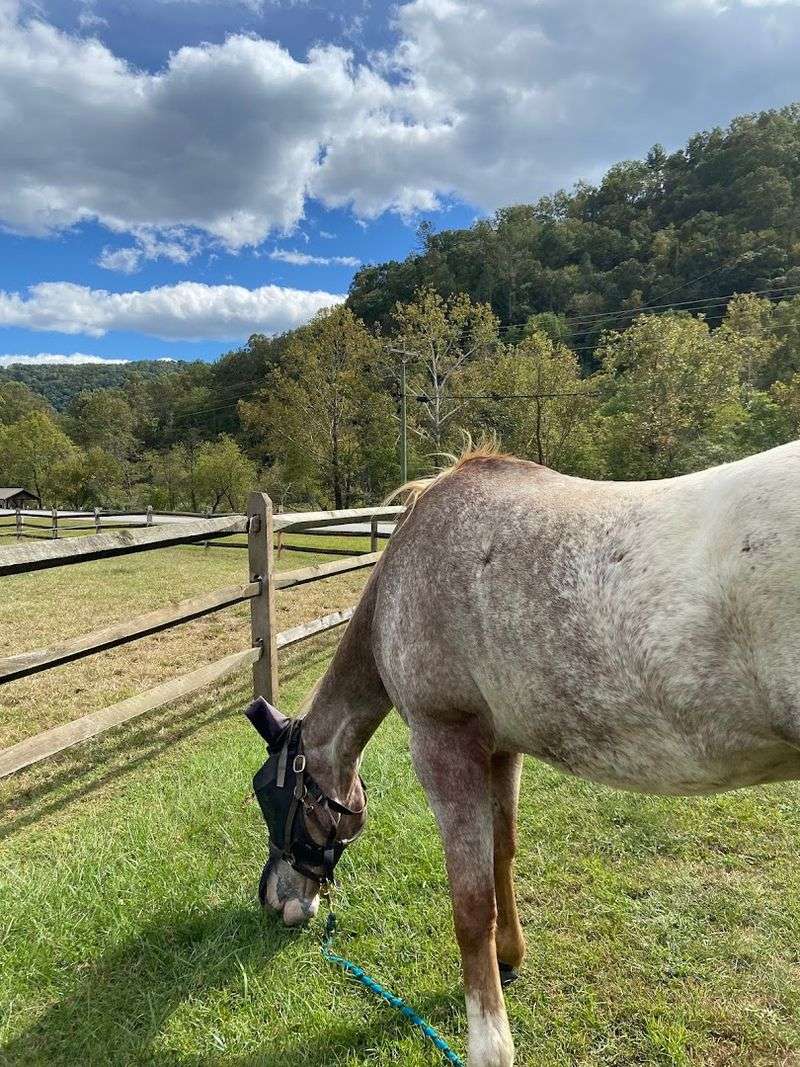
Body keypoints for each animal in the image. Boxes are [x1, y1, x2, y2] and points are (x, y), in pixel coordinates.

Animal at [247, 441, 800, 1067]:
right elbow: (502, 854)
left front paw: (490, 1043)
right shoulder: (499, 748)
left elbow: (470, 907)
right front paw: (509, 954)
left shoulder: (444, 745)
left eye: (268, 795)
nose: (274, 900)